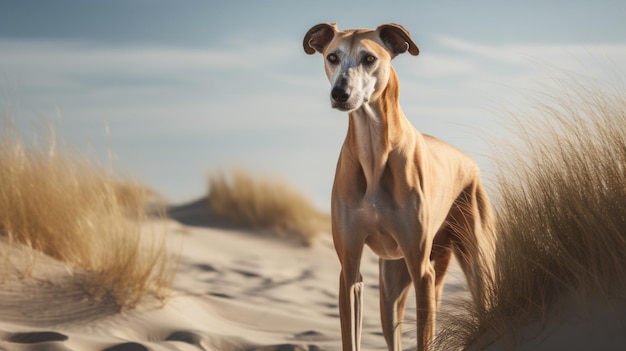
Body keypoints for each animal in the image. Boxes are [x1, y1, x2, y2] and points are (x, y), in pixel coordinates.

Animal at [300, 23, 494, 350]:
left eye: (369, 58)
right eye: (332, 57)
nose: (340, 93)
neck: (374, 153)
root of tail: (468, 162)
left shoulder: (422, 272)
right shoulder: (349, 273)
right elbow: (351, 336)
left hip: (471, 263)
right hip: (392, 284)